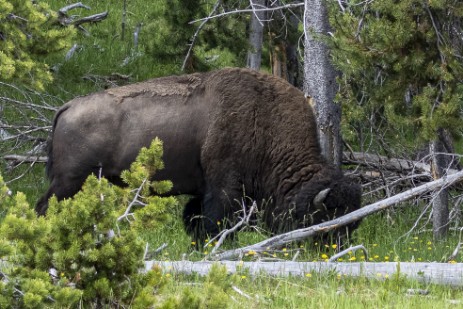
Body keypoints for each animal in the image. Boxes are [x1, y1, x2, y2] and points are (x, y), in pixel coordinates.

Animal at [37, 68, 362, 239]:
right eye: (325, 222)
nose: (334, 251)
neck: (266, 123)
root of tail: (68, 106)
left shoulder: (205, 189)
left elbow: (194, 217)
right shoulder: (224, 187)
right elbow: (213, 220)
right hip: (68, 181)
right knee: (44, 207)